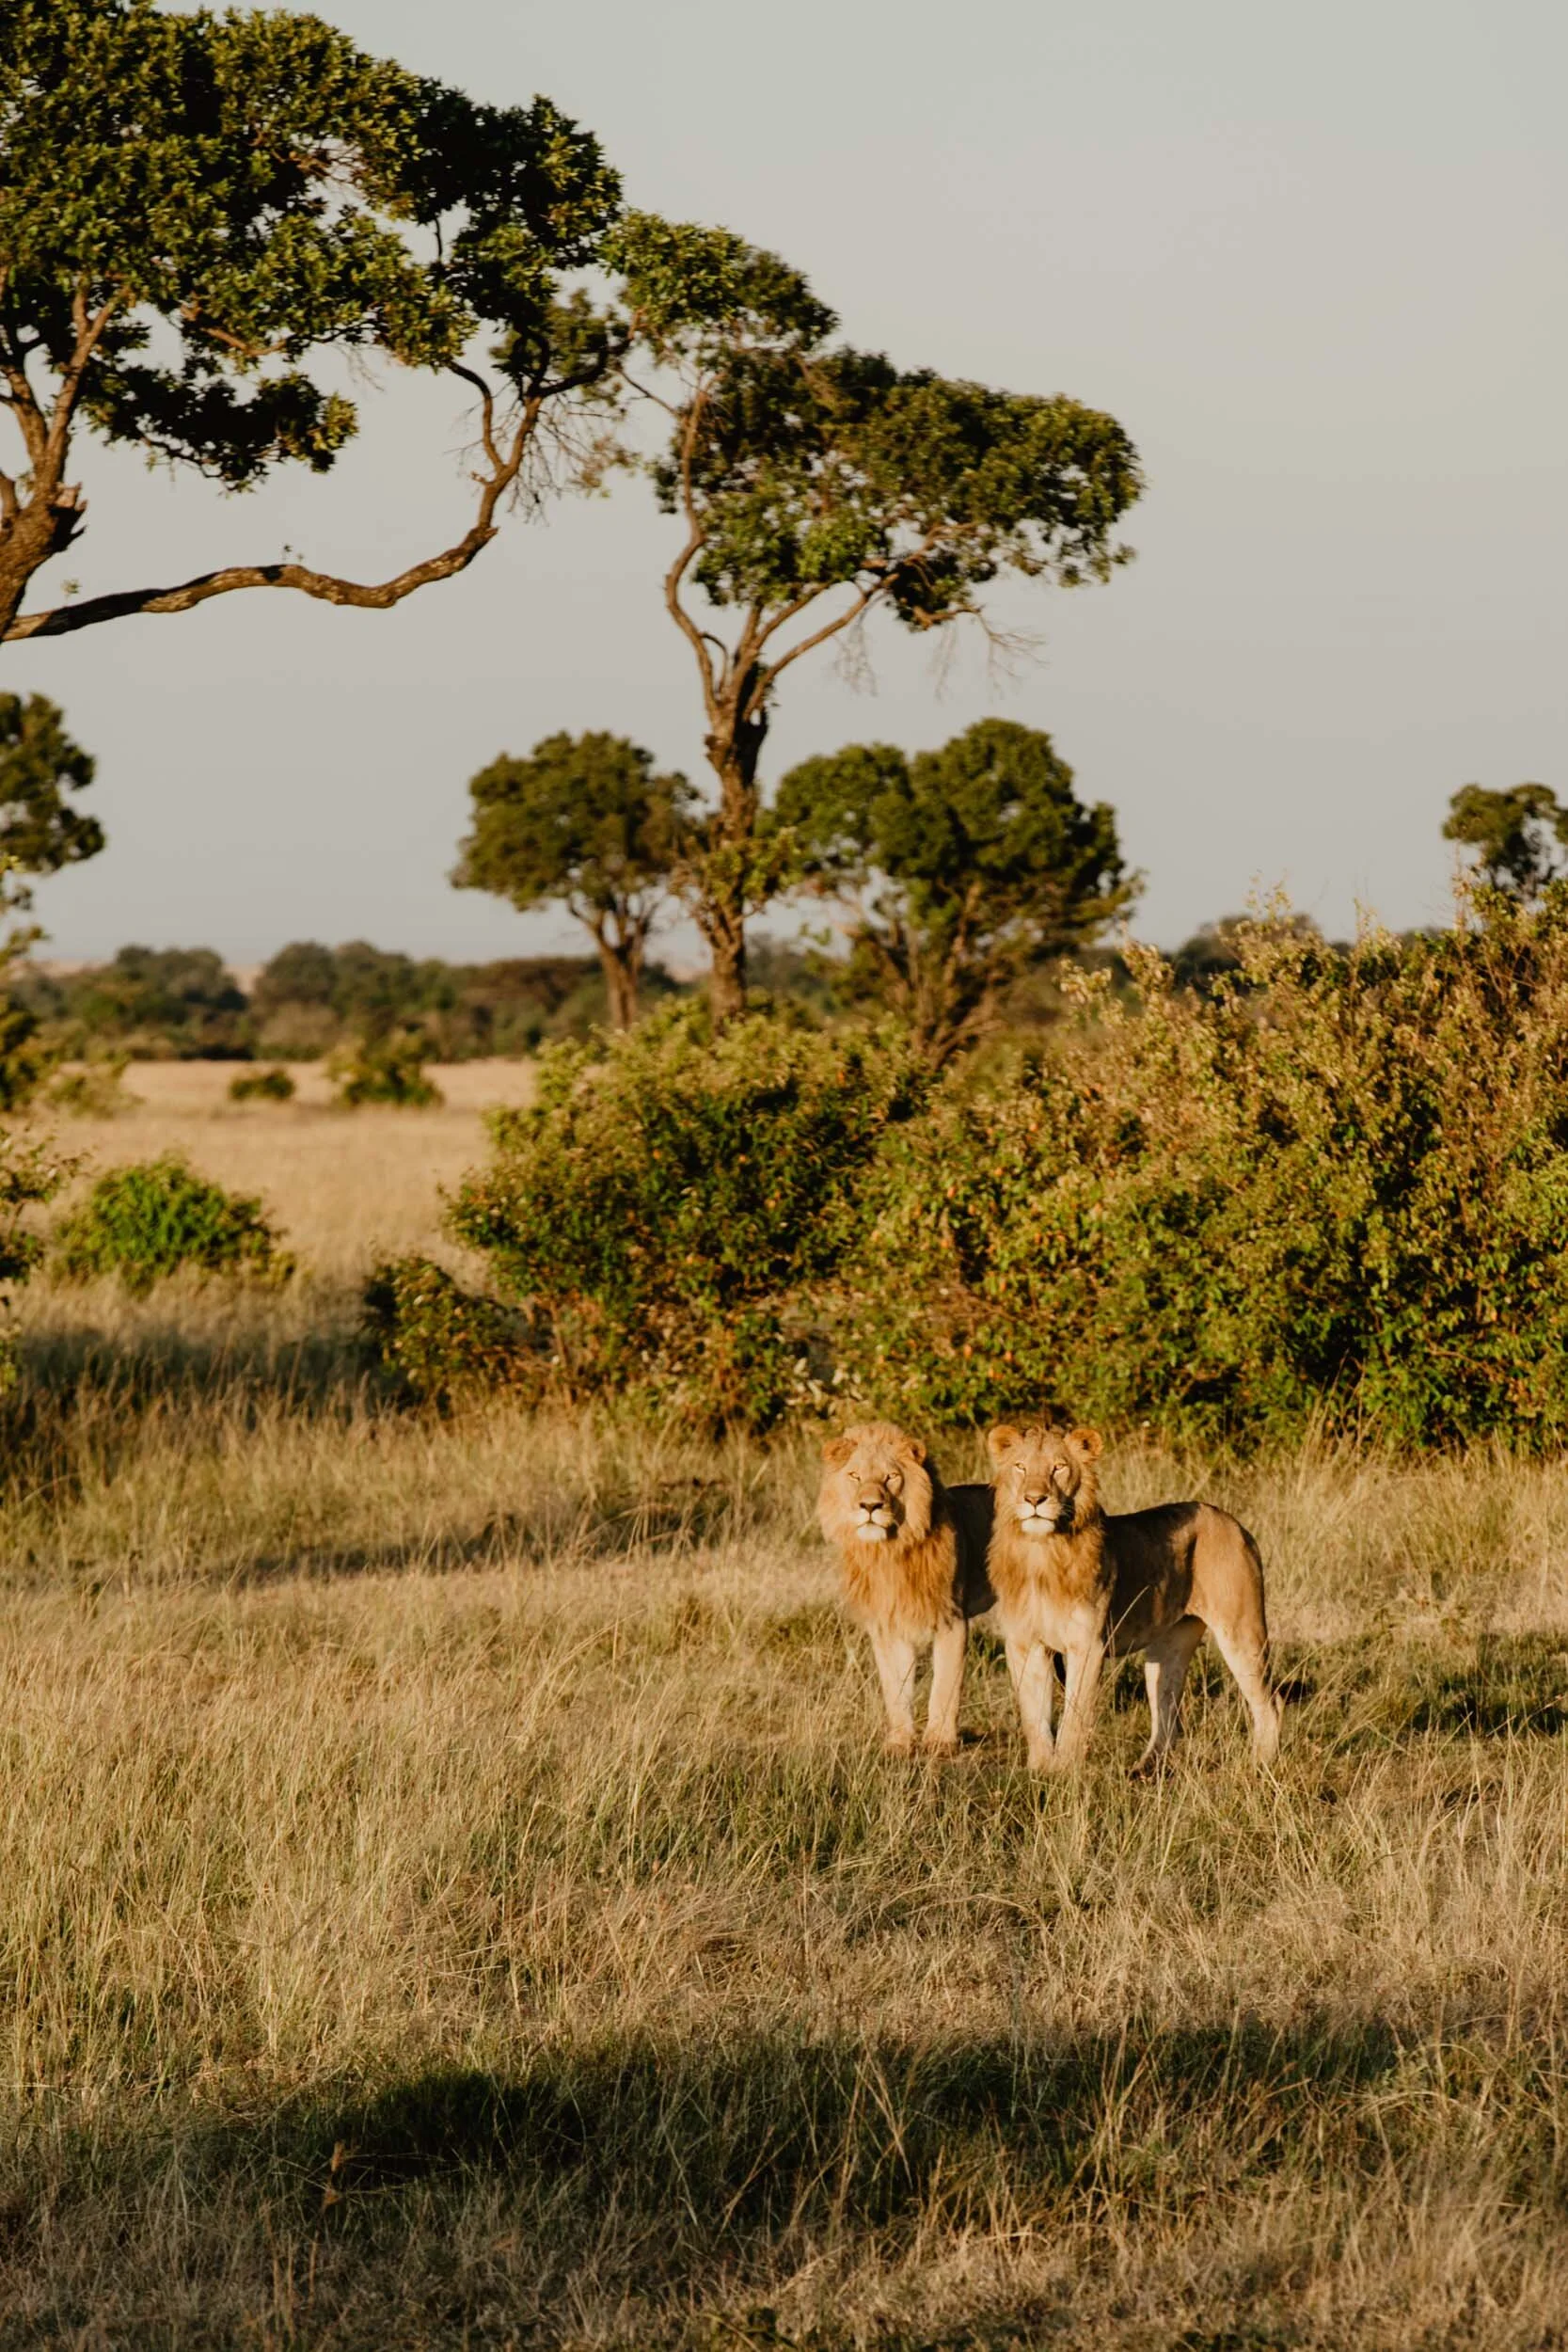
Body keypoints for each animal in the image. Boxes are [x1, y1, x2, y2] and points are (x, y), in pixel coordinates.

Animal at [818, 1421, 995, 1755]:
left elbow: (945, 1685)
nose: (870, 1505)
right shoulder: (888, 1626)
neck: (888, 1552)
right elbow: (895, 1688)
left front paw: (939, 1742)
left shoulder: (952, 1620)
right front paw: (899, 1742)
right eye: (855, 1476)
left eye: (891, 1477)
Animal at [986, 1420, 1282, 1774]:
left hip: (1241, 1631)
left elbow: (1074, 1718)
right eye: (1021, 1467)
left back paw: (1261, 1765)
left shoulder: (1087, 1646)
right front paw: (1039, 1772)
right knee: (1168, 1712)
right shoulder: (1025, 1643)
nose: (1034, 1499)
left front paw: (1066, 1773)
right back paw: (1144, 1772)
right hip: (1168, 1647)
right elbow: (1034, 1716)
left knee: (1270, 1702)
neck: (1040, 1551)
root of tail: (1233, 1522)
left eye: (1058, 1468)